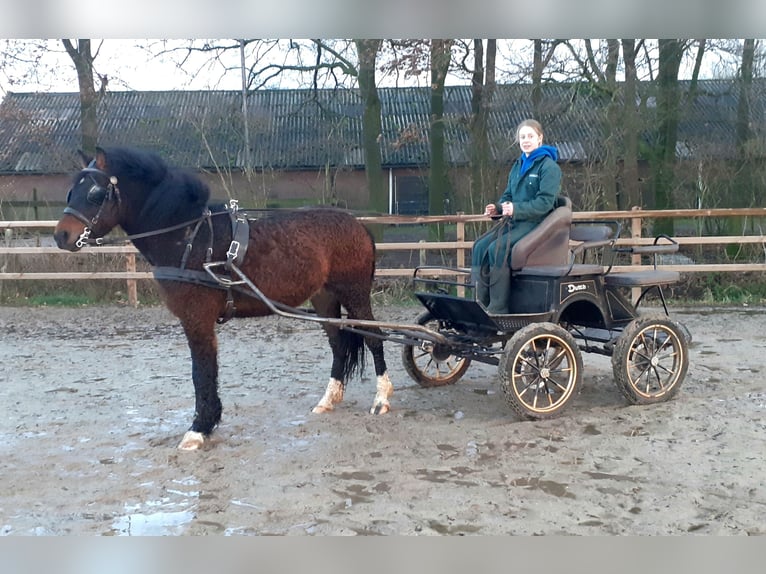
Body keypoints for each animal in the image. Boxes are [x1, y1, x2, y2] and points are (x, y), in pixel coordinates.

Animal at [55, 146, 396, 452]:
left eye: (95, 193)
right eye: (71, 190)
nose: (61, 236)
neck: (191, 238)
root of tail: (357, 224)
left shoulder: (197, 318)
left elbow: (202, 371)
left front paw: (198, 430)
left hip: (354, 293)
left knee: (374, 338)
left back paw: (381, 399)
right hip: (324, 299)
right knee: (339, 345)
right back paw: (327, 401)